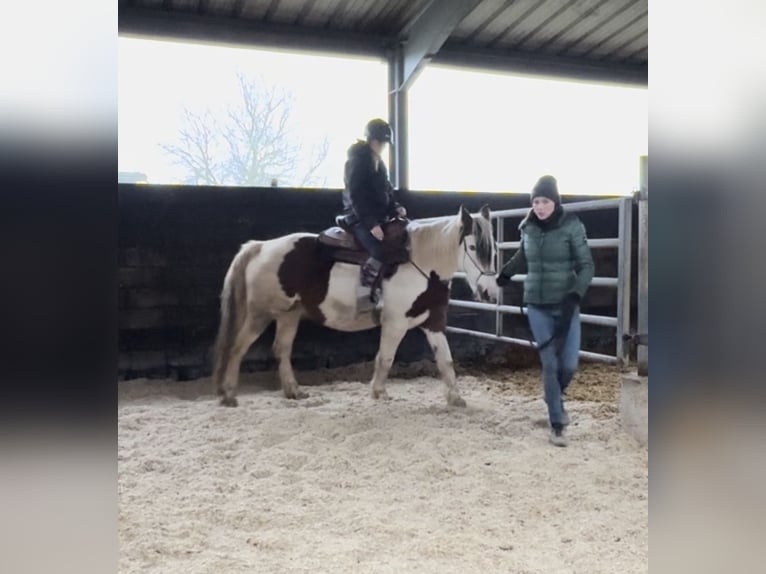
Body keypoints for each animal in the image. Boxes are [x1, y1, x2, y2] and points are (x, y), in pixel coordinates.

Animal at [210, 205, 500, 408]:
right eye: (473, 246)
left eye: (495, 249)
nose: (489, 292)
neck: (421, 264)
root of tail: (260, 247)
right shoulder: (395, 323)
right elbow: (385, 358)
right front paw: (379, 392)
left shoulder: (434, 322)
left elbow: (446, 361)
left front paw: (455, 398)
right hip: (259, 315)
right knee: (237, 347)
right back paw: (229, 395)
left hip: (288, 315)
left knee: (281, 349)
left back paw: (294, 391)